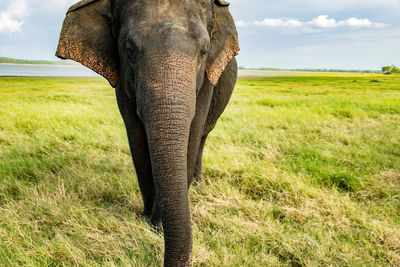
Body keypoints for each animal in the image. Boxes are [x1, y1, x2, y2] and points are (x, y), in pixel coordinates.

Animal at [55, 0, 238, 266]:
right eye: (129, 49)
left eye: (203, 52)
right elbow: (137, 137)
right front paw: (148, 222)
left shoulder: (206, 80)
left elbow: (192, 134)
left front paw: (157, 225)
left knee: (203, 136)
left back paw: (196, 184)